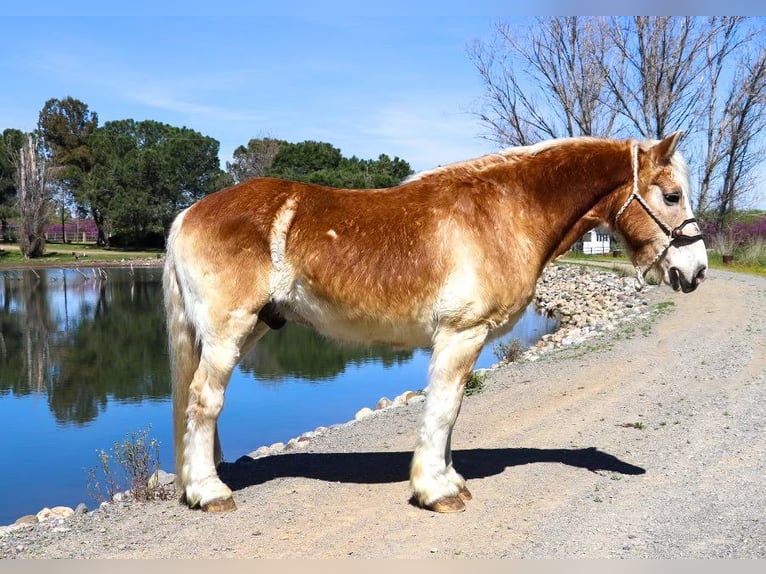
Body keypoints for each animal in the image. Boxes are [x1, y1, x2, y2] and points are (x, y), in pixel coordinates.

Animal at [165, 133, 712, 516]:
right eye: (670, 195)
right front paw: (435, 491)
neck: (507, 211)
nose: (698, 270)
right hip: (227, 333)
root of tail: (187, 212)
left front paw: (448, 480)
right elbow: (444, 409)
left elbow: (452, 411)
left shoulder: (461, 341)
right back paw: (210, 492)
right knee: (204, 401)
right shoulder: (460, 334)